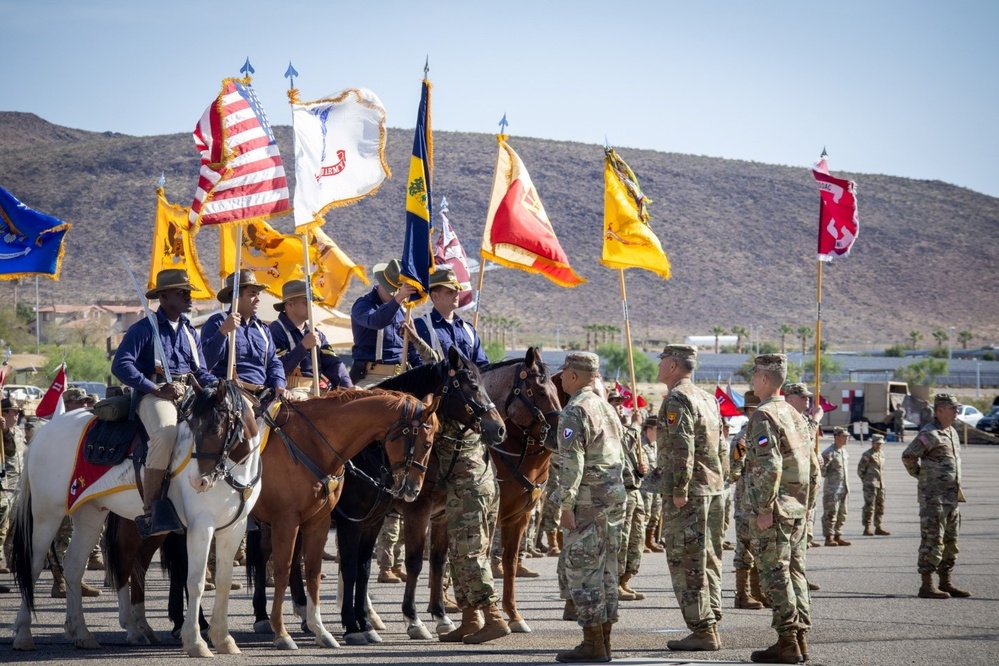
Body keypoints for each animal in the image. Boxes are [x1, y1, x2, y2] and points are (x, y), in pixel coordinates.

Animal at [11, 378, 262, 652]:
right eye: (193, 427)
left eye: (216, 427)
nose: (199, 482)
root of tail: (45, 430)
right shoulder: (201, 527)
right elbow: (194, 581)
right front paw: (195, 642)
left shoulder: (233, 529)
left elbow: (224, 582)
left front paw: (224, 639)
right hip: (47, 514)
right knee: (33, 566)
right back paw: (24, 634)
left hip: (90, 514)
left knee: (75, 565)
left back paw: (82, 632)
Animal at [245, 386, 438, 644]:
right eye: (426, 444)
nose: (413, 490)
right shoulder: (347, 523)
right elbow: (349, 568)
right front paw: (353, 625)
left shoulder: (370, 522)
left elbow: (362, 570)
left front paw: (364, 622)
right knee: (265, 558)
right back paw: (262, 617)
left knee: (282, 558)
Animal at [332, 348, 508, 644]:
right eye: (472, 385)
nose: (499, 429)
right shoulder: (415, 512)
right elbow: (414, 563)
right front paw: (413, 619)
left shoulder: (441, 516)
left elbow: (438, 562)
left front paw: (441, 616)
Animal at [482, 344, 568, 632]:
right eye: (539, 392)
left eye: (556, 392)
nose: (559, 435)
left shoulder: (519, 516)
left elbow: (509, 561)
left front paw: (514, 615)